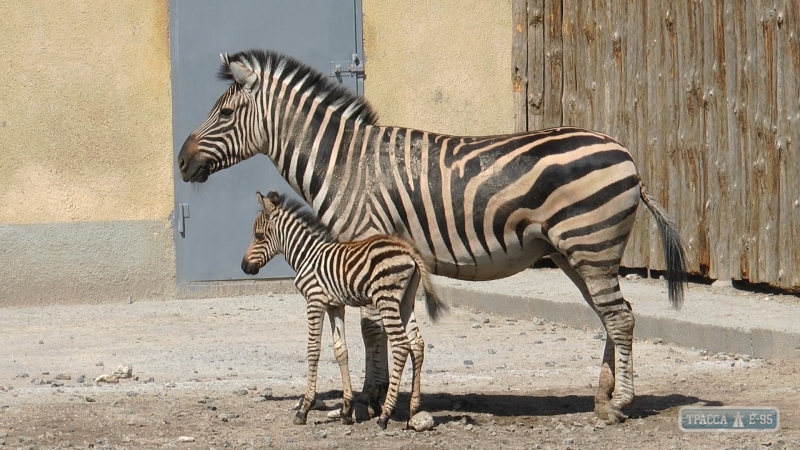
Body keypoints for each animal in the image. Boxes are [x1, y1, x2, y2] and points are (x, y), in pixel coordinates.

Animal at [241, 191, 446, 428]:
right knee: (417, 343)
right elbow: (341, 350)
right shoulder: (335, 305)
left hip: (386, 298)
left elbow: (313, 350)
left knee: (401, 345)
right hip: (405, 301)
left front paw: (304, 409)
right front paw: (346, 410)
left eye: (259, 236)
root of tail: (408, 250)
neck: (307, 255)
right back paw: (414, 409)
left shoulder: (315, 300)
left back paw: (385, 414)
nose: (244, 267)